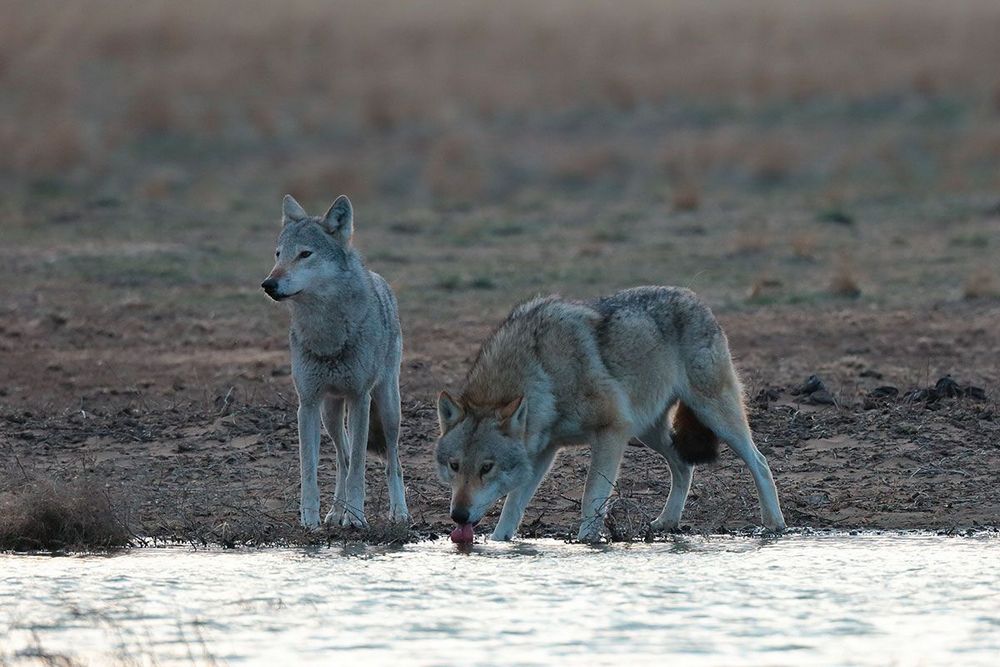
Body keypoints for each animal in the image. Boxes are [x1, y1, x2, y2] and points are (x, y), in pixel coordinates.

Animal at [266, 196, 410, 528]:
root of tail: (379, 279)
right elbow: (310, 468)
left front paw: (357, 517)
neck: (327, 335)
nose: (268, 284)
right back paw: (336, 512)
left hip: (388, 407)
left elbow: (359, 465)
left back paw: (399, 512)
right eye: (279, 254)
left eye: (305, 254)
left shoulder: (359, 399)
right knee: (342, 459)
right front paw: (310, 518)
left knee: (392, 461)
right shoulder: (307, 405)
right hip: (330, 414)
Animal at [438, 288, 788, 544]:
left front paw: (586, 542)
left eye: (487, 468)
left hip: (713, 415)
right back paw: (668, 521)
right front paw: (499, 542)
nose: (458, 516)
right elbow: (513, 505)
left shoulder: (612, 431)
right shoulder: (542, 451)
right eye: (454, 466)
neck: (542, 372)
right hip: (648, 430)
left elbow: (591, 497)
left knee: (760, 462)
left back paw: (774, 525)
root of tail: (695, 298)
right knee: (684, 467)